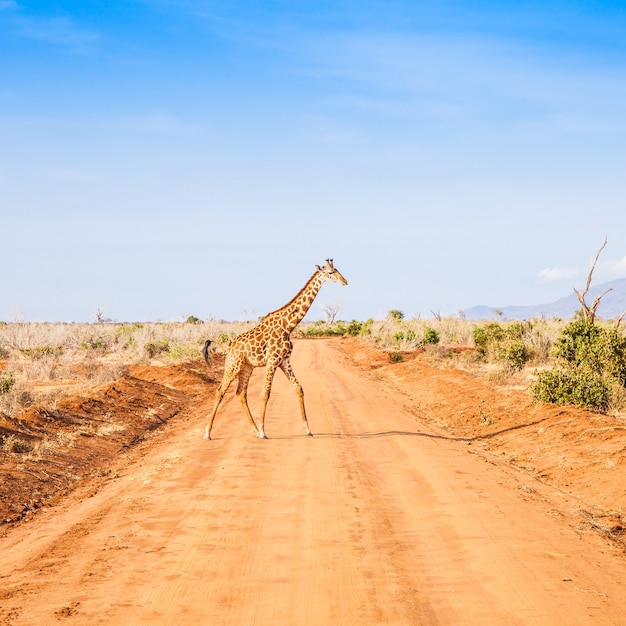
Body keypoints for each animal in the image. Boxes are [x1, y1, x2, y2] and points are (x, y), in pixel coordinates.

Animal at [202, 258, 346, 438]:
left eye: (338, 270)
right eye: (331, 272)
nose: (345, 282)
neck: (288, 326)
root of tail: (228, 347)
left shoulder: (284, 361)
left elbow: (299, 388)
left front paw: (307, 429)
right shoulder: (272, 361)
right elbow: (266, 394)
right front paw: (264, 431)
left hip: (246, 367)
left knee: (240, 393)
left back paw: (253, 429)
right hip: (232, 366)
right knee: (220, 391)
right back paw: (208, 433)